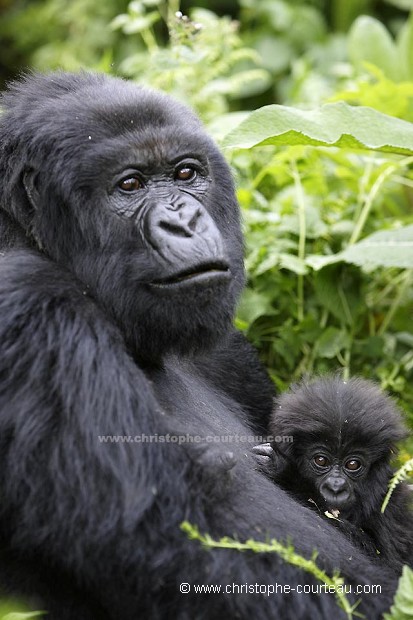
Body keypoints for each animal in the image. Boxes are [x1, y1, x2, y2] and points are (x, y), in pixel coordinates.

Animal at [254, 372, 412, 572]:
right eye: (321, 461)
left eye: (352, 464)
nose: (336, 487)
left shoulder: (391, 504)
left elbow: (383, 564)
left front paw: (284, 473)